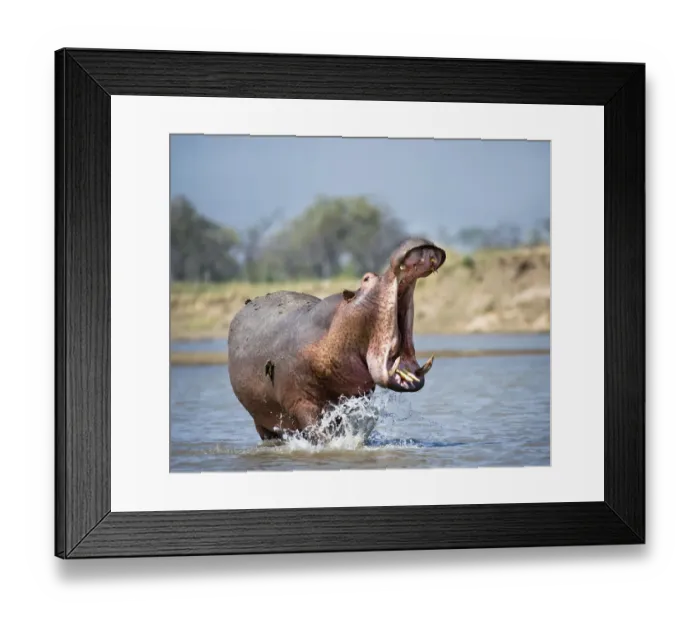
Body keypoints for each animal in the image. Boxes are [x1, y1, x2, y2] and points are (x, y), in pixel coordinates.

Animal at [227, 238, 446, 442]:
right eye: (366, 278)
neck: (333, 326)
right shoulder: (301, 402)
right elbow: (318, 432)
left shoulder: (356, 399)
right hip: (260, 420)